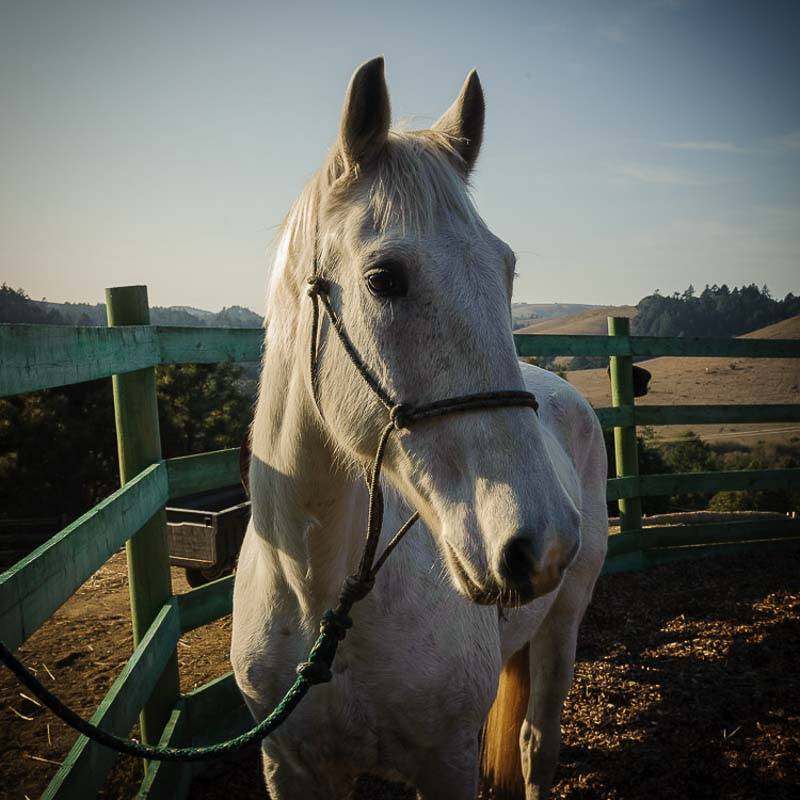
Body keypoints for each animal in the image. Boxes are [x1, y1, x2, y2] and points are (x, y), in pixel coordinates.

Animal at [231, 57, 608, 800]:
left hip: (565, 617)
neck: (318, 595)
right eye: (385, 278)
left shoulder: (446, 763)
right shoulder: (287, 764)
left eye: (506, 268)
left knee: (537, 743)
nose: (541, 542)